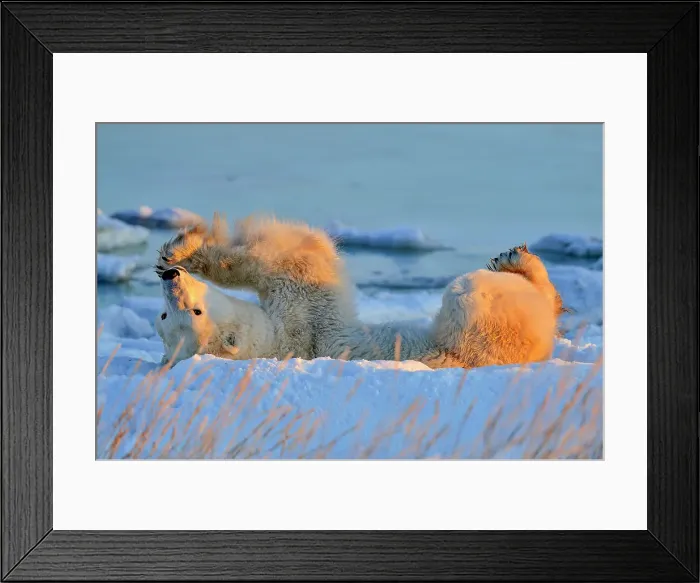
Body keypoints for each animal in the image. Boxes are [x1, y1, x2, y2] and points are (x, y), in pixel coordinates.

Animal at [155, 216, 567, 369]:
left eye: (164, 315)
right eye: (191, 312)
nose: (171, 278)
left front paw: (173, 255)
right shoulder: (303, 312)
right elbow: (295, 255)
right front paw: (184, 248)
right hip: (476, 322)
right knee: (473, 290)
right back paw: (516, 263)